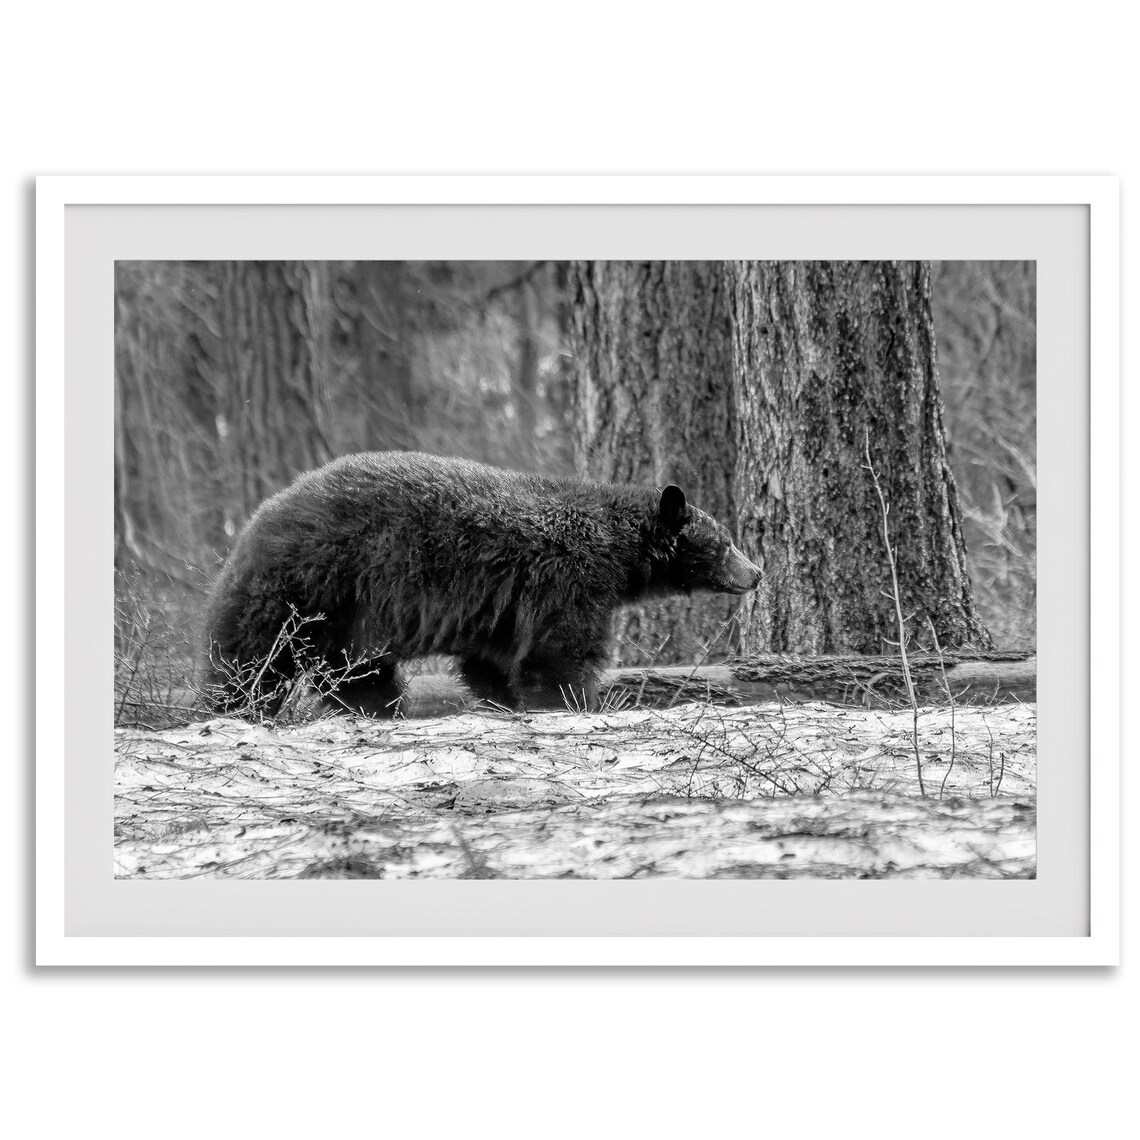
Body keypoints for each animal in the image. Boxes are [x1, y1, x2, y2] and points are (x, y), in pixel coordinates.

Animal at [202, 451, 761, 717]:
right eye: (726, 542)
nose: (756, 573)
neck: (618, 554)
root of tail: (253, 524)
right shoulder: (568, 580)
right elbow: (561, 652)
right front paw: (575, 701)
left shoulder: (502, 605)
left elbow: (491, 661)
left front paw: (506, 701)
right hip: (311, 589)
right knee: (249, 660)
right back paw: (232, 707)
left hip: (342, 619)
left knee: (356, 673)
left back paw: (379, 709)